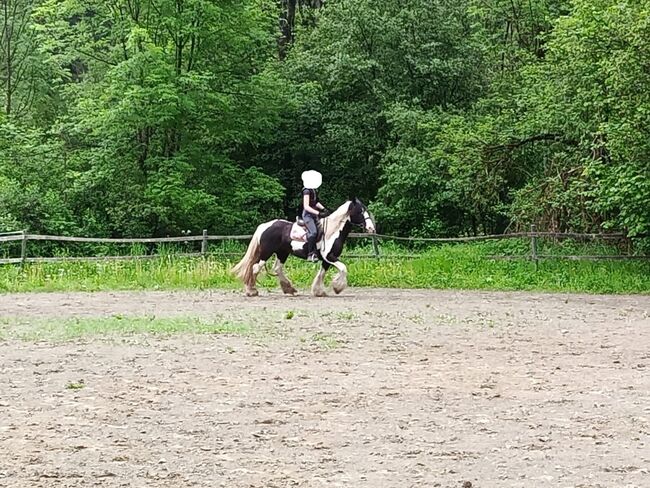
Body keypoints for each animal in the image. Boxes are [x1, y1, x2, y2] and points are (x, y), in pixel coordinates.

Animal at [232, 197, 374, 298]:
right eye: (360, 211)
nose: (371, 228)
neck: (332, 231)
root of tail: (265, 226)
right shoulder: (330, 256)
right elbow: (344, 268)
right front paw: (337, 287)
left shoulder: (327, 260)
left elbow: (321, 274)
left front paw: (319, 291)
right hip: (266, 252)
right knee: (256, 268)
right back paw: (252, 291)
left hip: (282, 253)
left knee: (277, 268)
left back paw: (289, 289)